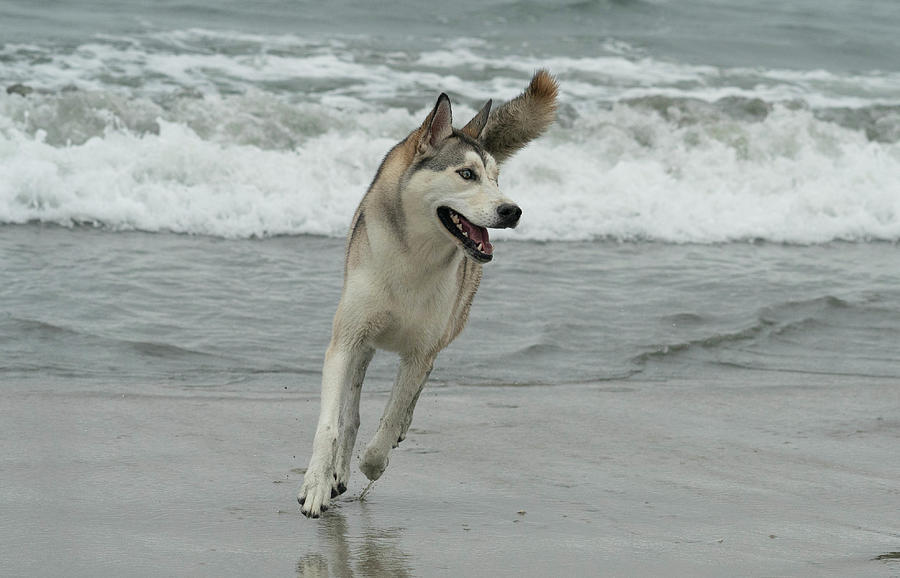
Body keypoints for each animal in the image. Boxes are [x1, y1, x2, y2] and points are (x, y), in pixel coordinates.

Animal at [298, 70, 560, 516]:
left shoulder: (421, 351)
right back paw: (339, 472)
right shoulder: (346, 342)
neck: (413, 256)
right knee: (352, 413)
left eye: (496, 179)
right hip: (364, 343)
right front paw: (317, 484)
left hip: (449, 328)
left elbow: (393, 414)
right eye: (467, 174)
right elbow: (332, 423)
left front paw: (375, 461)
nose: (512, 210)